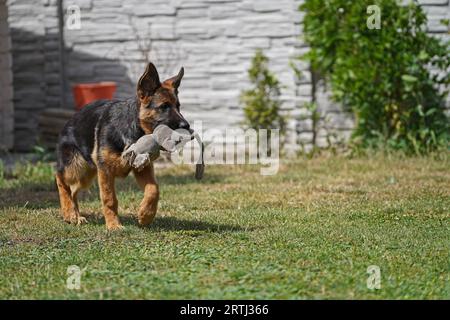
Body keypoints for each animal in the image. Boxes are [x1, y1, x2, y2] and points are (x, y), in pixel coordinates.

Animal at [56, 62, 190, 230]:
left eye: (178, 106)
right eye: (164, 106)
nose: (186, 126)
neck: (133, 127)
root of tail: (70, 120)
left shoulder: (142, 168)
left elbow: (154, 189)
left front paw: (145, 215)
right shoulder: (105, 171)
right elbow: (109, 199)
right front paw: (113, 225)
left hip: (87, 174)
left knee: (73, 190)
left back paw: (75, 216)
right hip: (76, 167)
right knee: (61, 179)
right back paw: (69, 213)